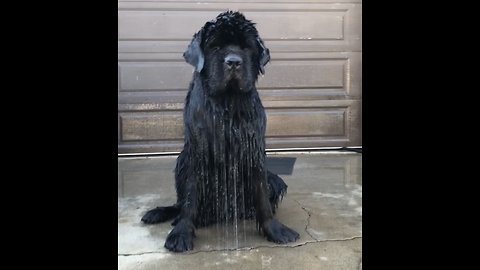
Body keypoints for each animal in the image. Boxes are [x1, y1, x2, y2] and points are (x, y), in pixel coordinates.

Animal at [142, 10, 300, 251]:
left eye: (246, 47)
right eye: (215, 47)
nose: (233, 62)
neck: (228, 101)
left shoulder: (254, 149)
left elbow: (262, 196)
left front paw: (274, 229)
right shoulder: (198, 151)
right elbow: (190, 197)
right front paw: (182, 232)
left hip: (274, 179)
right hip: (181, 160)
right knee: (179, 204)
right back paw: (164, 214)